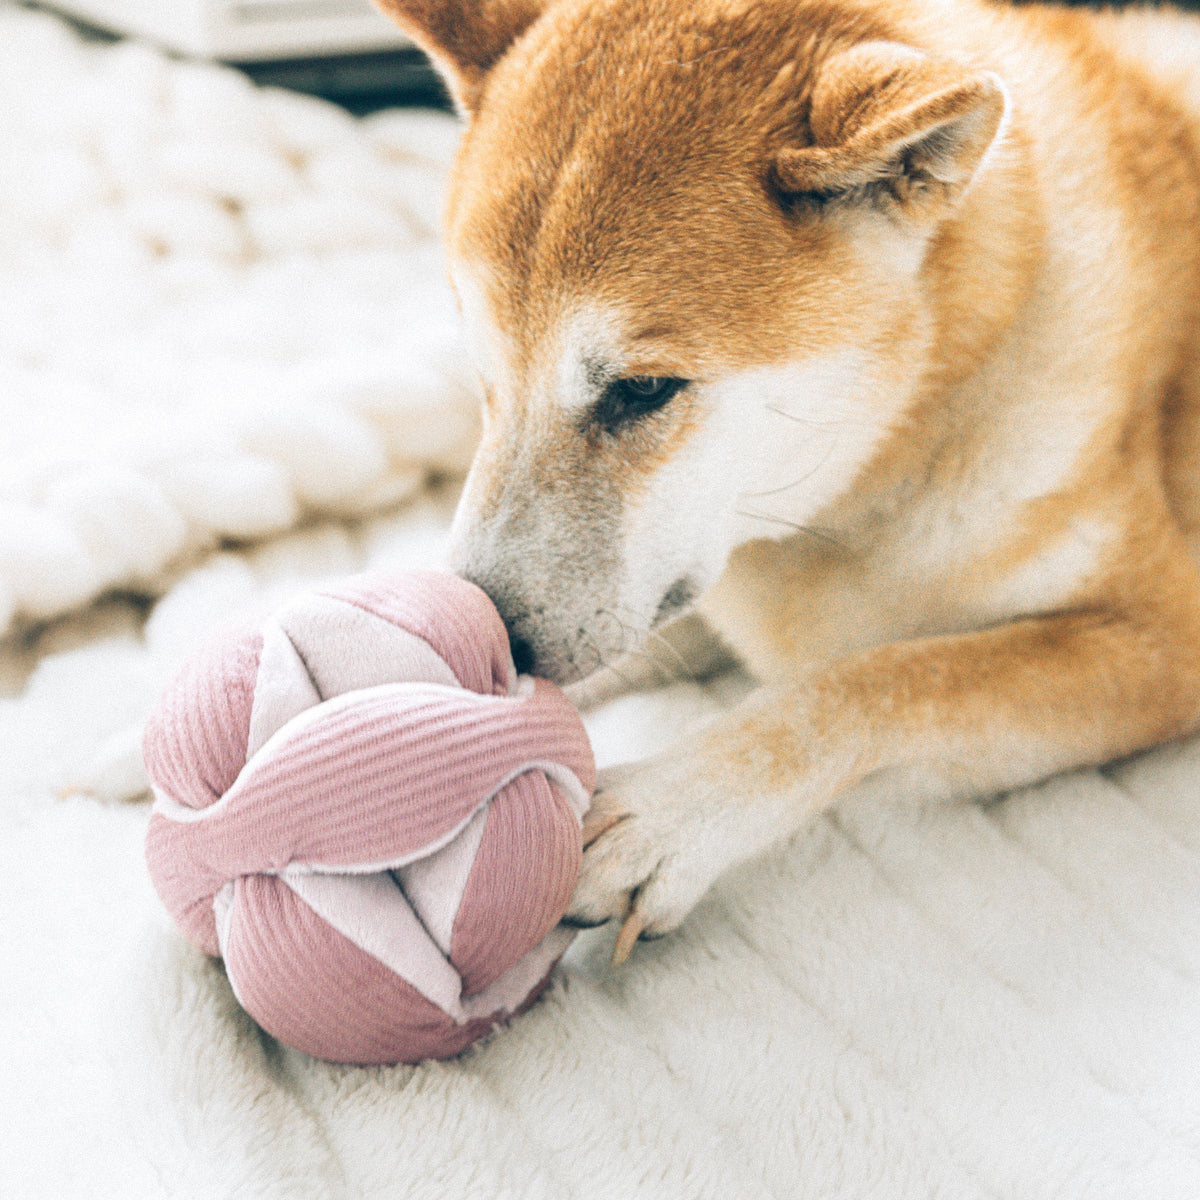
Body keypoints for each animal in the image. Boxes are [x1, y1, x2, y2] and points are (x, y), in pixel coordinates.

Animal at [372, 0, 1200, 960]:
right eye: (487, 376)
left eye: (642, 390)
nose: (493, 646)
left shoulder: (1163, 640)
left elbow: (876, 681)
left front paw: (665, 813)